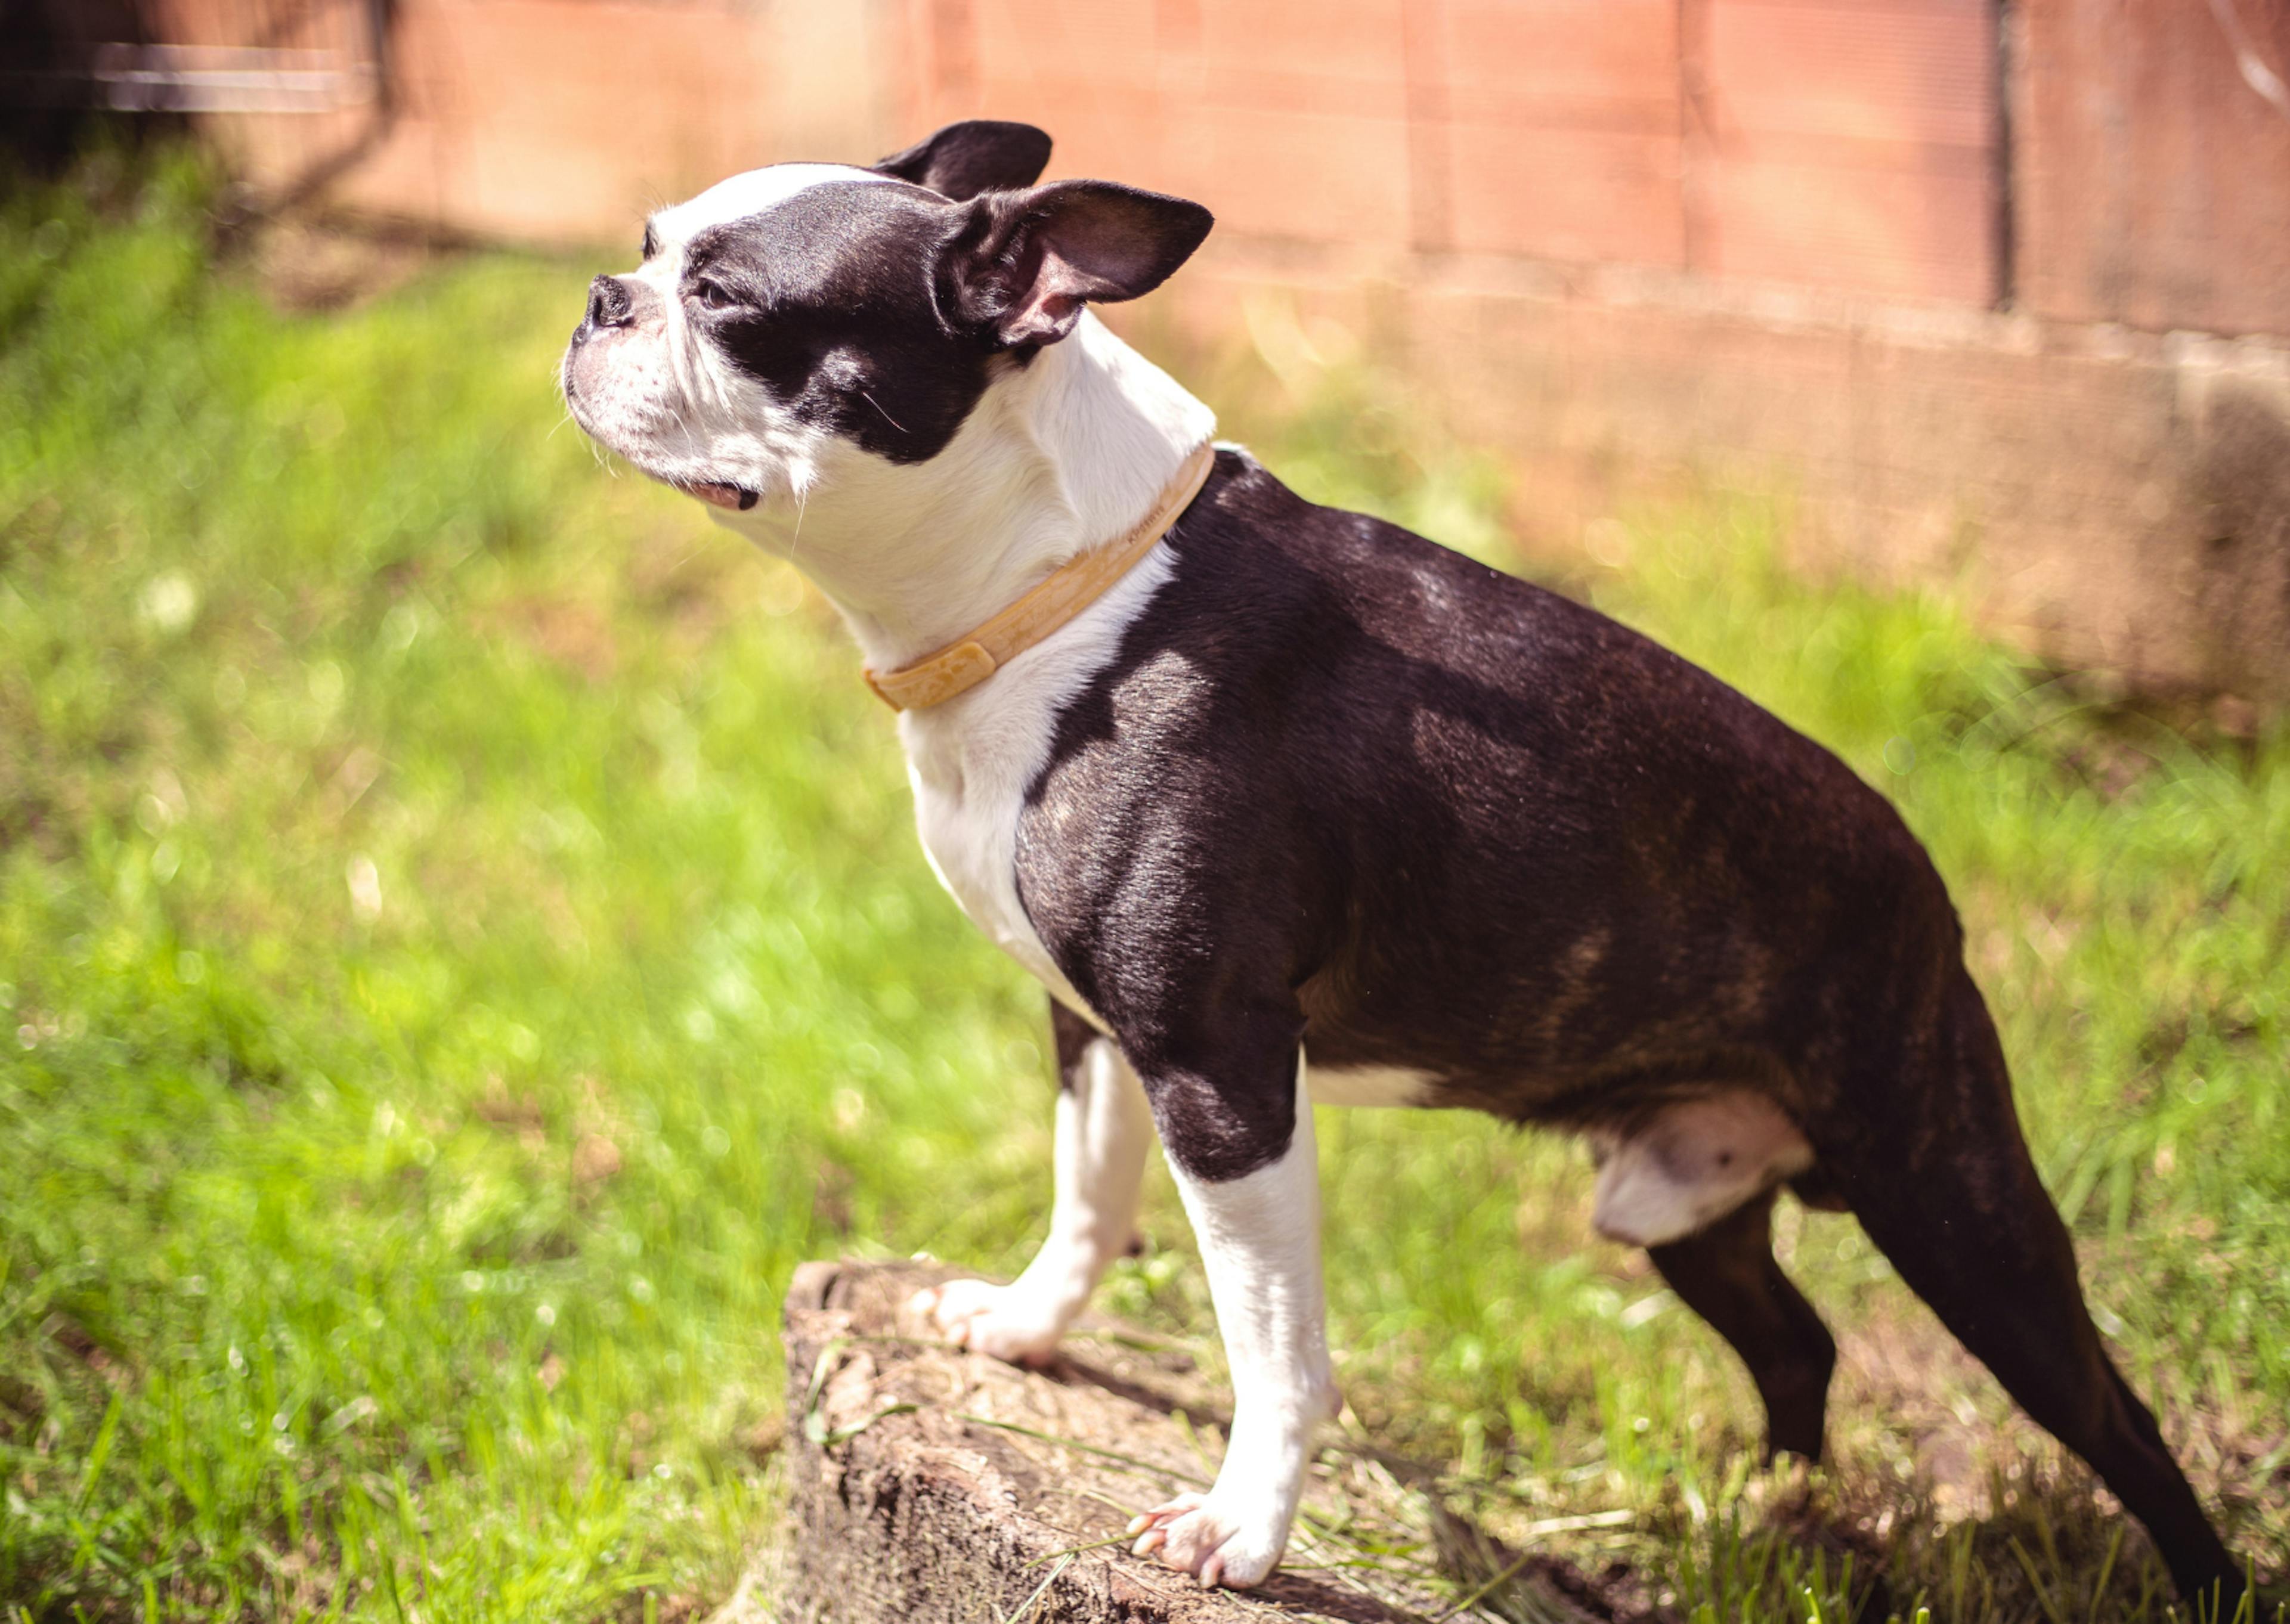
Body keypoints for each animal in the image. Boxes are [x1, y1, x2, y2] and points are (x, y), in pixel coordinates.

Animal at [563, 123, 2244, 1594]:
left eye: (729, 303)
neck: (1060, 586)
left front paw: (1242, 1532)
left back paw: (2197, 1578)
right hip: (1685, 1200)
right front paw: (1032, 1330)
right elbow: (1087, 1194)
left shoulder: (1221, 1071)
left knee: (2106, 1412)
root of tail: (1925, 886)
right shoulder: (1097, 1027)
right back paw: (1779, 1516)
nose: (596, 297)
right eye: (647, 247)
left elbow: (1272, 1340)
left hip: (1944, 1188)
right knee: (1795, 1338)